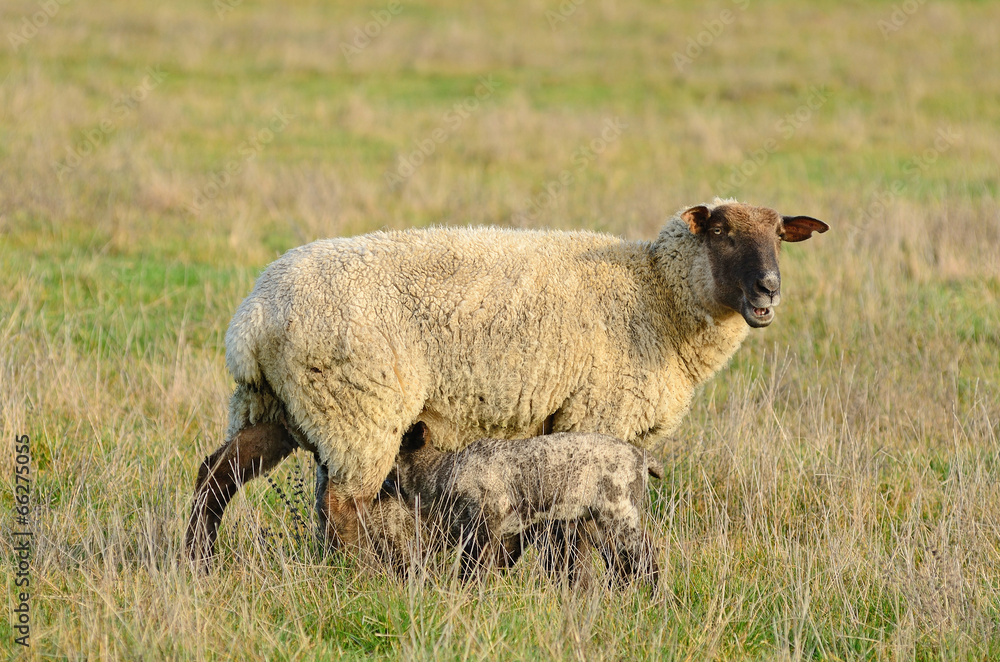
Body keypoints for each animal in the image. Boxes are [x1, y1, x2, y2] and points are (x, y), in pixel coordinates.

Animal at [185, 198, 828, 564]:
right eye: (721, 233)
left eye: (779, 237)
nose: (769, 289)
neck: (654, 295)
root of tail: (254, 316)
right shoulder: (595, 415)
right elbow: (578, 523)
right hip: (357, 407)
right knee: (345, 505)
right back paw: (367, 574)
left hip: (279, 405)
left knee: (218, 475)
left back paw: (199, 560)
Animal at [395, 421, 663, 587]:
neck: (443, 473)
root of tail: (641, 458)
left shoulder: (485, 526)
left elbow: (474, 572)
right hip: (597, 521)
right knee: (622, 564)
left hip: (619, 511)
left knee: (646, 554)